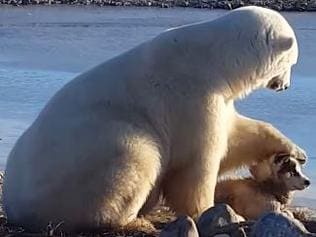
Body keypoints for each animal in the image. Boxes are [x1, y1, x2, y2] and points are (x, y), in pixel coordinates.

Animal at [3, 6, 306, 231]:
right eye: (291, 62)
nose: (285, 86)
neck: (213, 58)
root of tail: (12, 203)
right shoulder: (191, 97)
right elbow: (197, 161)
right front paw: (209, 211)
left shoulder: (217, 98)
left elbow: (236, 135)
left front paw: (295, 150)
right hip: (87, 157)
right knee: (137, 156)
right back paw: (130, 219)